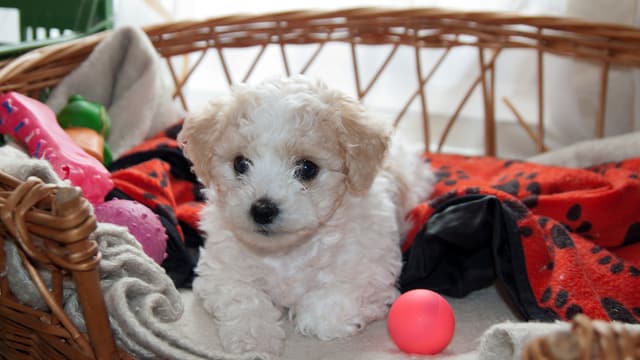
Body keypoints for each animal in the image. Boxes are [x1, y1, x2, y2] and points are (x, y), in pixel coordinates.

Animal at [180, 76, 436, 354]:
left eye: (307, 168)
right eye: (240, 163)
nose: (262, 209)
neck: (285, 252)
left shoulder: (371, 272)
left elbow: (328, 307)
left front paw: (304, 315)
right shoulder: (220, 270)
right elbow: (244, 297)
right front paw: (255, 339)